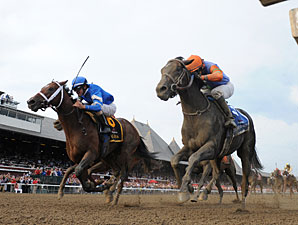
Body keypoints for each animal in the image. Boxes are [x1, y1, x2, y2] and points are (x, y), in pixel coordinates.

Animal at [27, 80, 156, 204]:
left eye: (51, 88)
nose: (31, 101)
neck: (78, 127)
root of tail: (136, 131)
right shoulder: (79, 158)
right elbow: (73, 170)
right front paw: (62, 191)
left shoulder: (91, 154)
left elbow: (79, 171)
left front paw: (96, 185)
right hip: (109, 158)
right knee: (116, 172)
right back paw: (109, 190)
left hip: (125, 156)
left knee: (123, 175)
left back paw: (113, 197)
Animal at [155, 58, 262, 209]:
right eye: (162, 70)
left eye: (178, 69)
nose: (160, 89)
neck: (196, 115)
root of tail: (246, 115)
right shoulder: (190, 147)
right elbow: (174, 160)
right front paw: (186, 188)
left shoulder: (211, 146)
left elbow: (193, 159)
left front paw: (185, 191)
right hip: (219, 156)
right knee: (217, 174)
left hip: (244, 151)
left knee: (243, 178)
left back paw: (242, 203)